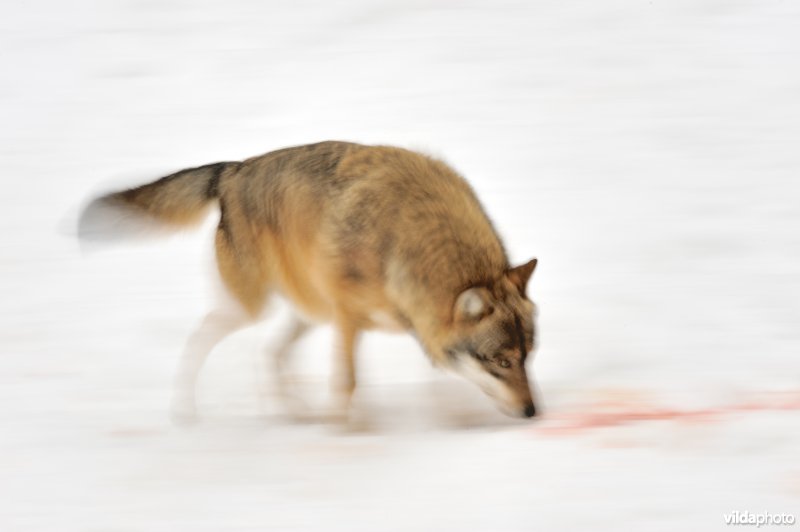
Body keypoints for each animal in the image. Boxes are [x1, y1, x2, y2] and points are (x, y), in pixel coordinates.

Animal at [79, 140, 536, 420]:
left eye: (526, 358)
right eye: (502, 362)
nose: (534, 412)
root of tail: (233, 170)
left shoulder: (401, 325)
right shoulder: (350, 320)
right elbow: (347, 382)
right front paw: (343, 430)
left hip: (311, 312)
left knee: (270, 353)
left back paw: (295, 413)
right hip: (254, 309)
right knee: (201, 340)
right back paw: (187, 412)